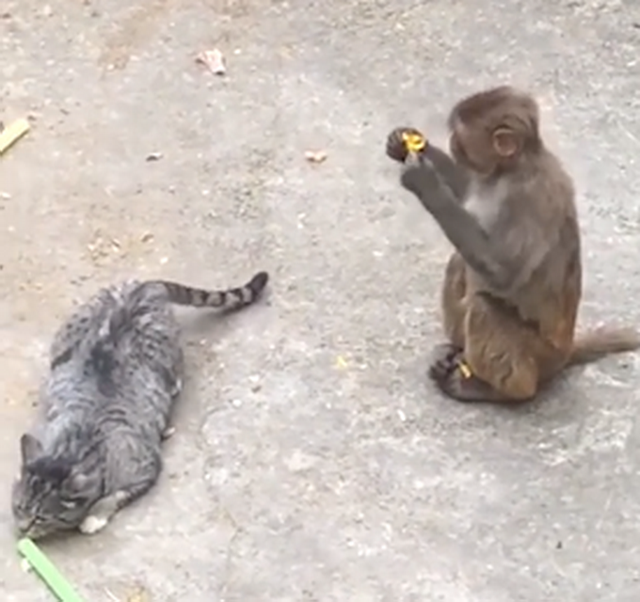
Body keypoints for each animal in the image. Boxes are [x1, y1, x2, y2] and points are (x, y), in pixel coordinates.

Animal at [11, 271, 269, 539]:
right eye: (18, 508)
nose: (22, 529)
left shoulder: (146, 469)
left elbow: (113, 496)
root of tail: (142, 286)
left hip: (166, 347)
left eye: (40, 518)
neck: (75, 446)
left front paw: (94, 516)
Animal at [386, 86, 640, 403]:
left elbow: (505, 272)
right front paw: (409, 143)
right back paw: (455, 350)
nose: (452, 142)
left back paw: (498, 390)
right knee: (459, 262)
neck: (509, 169)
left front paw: (425, 182)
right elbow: (466, 189)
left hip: (540, 356)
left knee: (484, 308)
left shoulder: (528, 197)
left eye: (459, 135)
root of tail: (565, 351)